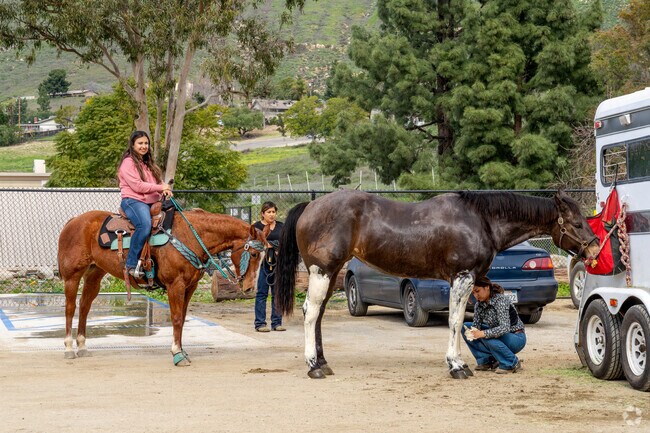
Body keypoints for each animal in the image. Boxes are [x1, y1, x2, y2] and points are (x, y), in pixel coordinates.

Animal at [57, 208, 266, 365]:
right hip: (72, 277)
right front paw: (177, 354)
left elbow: (182, 319)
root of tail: (73, 221)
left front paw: (182, 351)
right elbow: (176, 318)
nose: (250, 289)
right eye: (254, 254)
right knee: (70, 308)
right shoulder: (175, 285)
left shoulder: (190, 287)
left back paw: (82, 346)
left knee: (84, 307)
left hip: (94, 274)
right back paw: (68, 348)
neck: (190, 235)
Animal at [275, 189, 600, 379]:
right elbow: (455, 322)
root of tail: (310, 206)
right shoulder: (462, 278)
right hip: (322, 271)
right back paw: (313, 366)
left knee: (318, 315)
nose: (595, 249)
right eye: (576, 223)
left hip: (329, 274)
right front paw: (457, 366)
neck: (481, 219)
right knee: (311, 312)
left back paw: (322, 363)